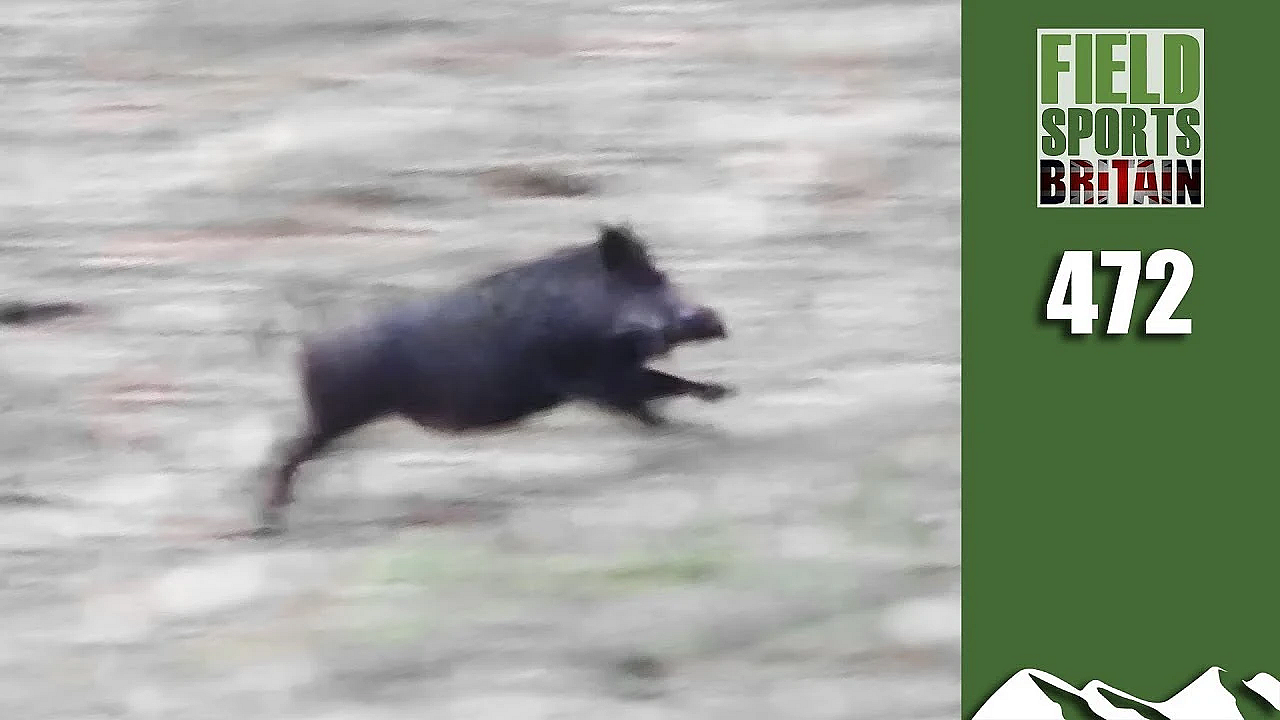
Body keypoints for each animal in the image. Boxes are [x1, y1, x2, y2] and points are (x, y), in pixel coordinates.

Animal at [256, 223, 733, 534]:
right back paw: (271, 518)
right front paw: (716, 401)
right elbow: (657, 387)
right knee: (286, 453)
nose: (714, 319)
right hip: (335, 413)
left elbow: (653, 394)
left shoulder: (603, 379)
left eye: (661, 278)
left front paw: (706, 407)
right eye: (645, 283)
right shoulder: (589, 377)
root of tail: (303, 347)